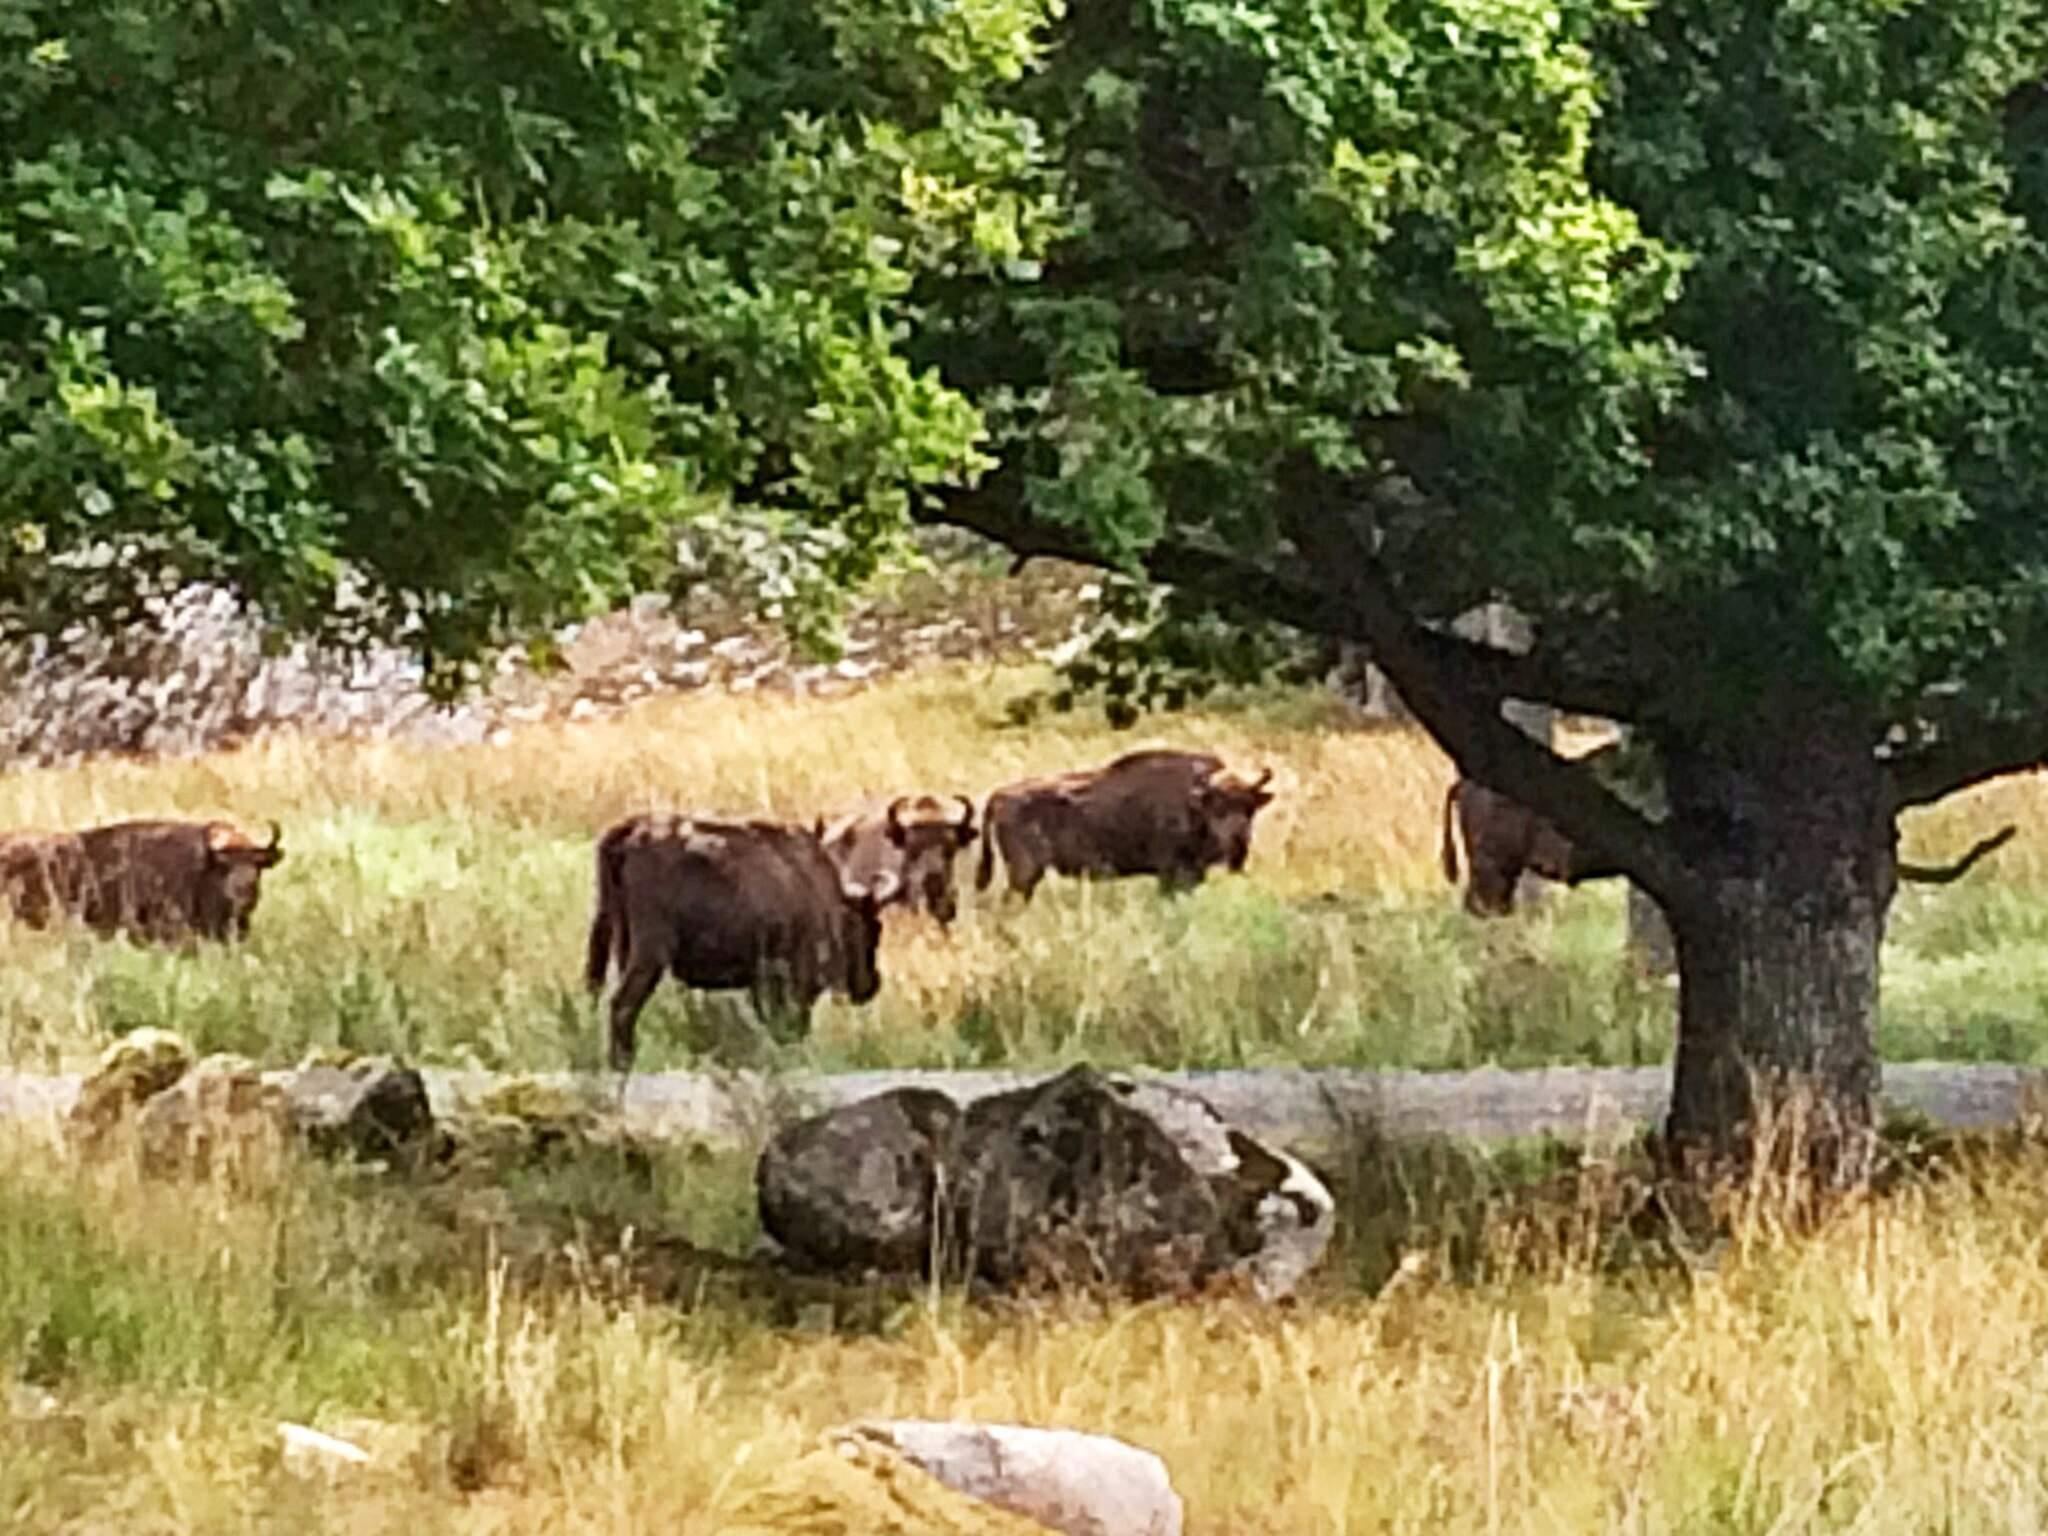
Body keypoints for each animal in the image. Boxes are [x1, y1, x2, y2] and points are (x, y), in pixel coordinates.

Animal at [583, 813, 900, 1073]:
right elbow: (791, 1027)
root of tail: (630, 831)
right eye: (872, 929)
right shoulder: (793, 981)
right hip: (650, 954)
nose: (870, 985)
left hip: (616, 940)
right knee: (622, 1005)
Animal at [974, 748, 1277, 902]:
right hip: (1025, 873)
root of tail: (998, 796)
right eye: (1218, 807)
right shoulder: (1172, 872)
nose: (1239, 841)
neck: (1194, 803)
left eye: (1250, 808)